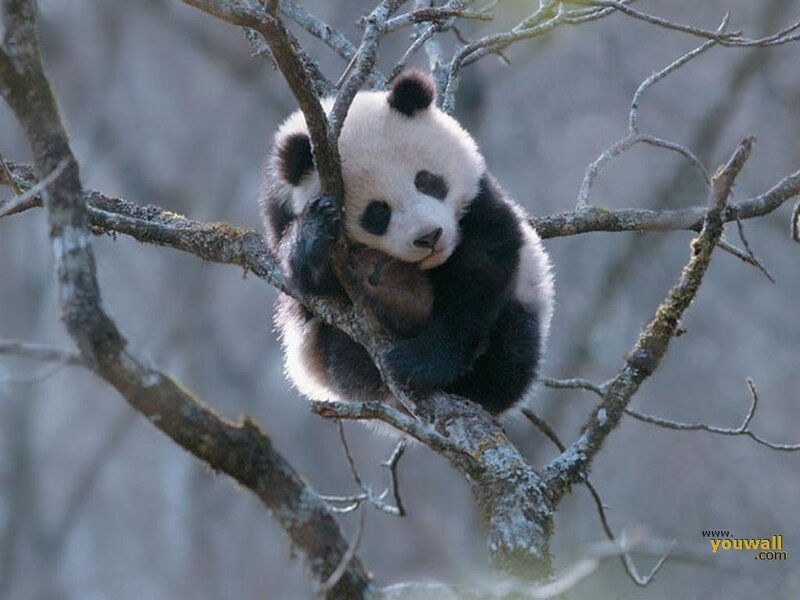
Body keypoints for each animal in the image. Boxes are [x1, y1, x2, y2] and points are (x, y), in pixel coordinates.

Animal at [260, 70, 554, 417]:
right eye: (377, 213)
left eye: (427, 181)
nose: (429, 237)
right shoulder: (278, 213)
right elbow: (309, 287)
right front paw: (316, 229)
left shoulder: (480, 200)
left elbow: (480, 269)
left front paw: (421, 364)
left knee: (513, 350)